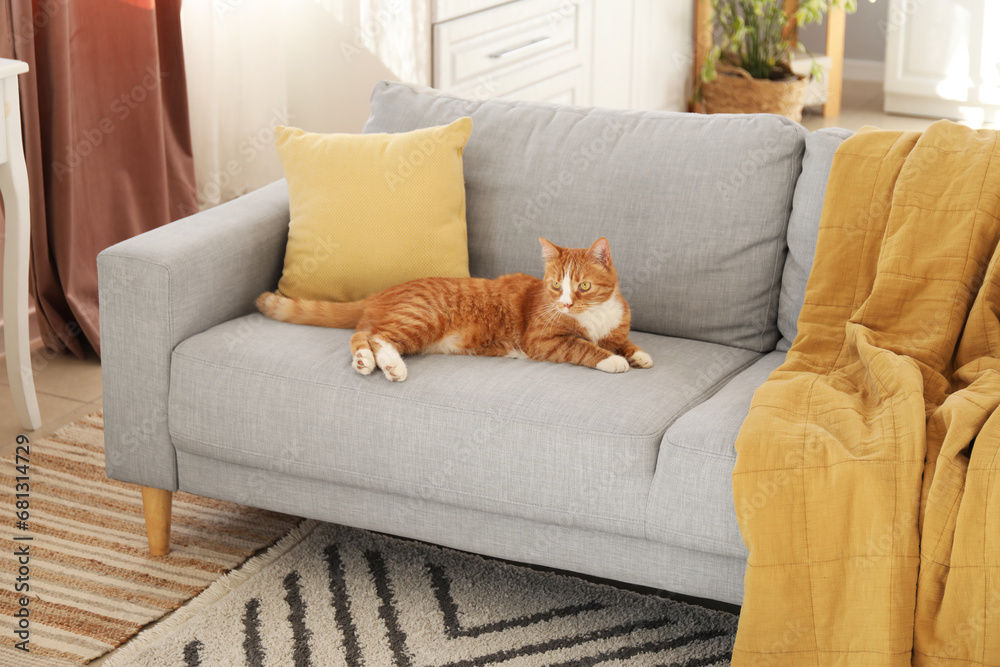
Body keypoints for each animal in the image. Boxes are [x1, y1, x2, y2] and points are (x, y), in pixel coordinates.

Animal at [254, 237, 652, 380]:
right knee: (374, 336)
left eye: (583, 286)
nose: (566, 302)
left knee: (365, 335)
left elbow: (624, 341)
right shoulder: (543, 341)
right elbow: (583, 346)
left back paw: (373, 362)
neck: (592, 316)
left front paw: (637, 354)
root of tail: (381, 292)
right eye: (556, 286)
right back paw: (385, 364)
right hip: (422, 317)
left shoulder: (616, 328)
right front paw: (612, 360)